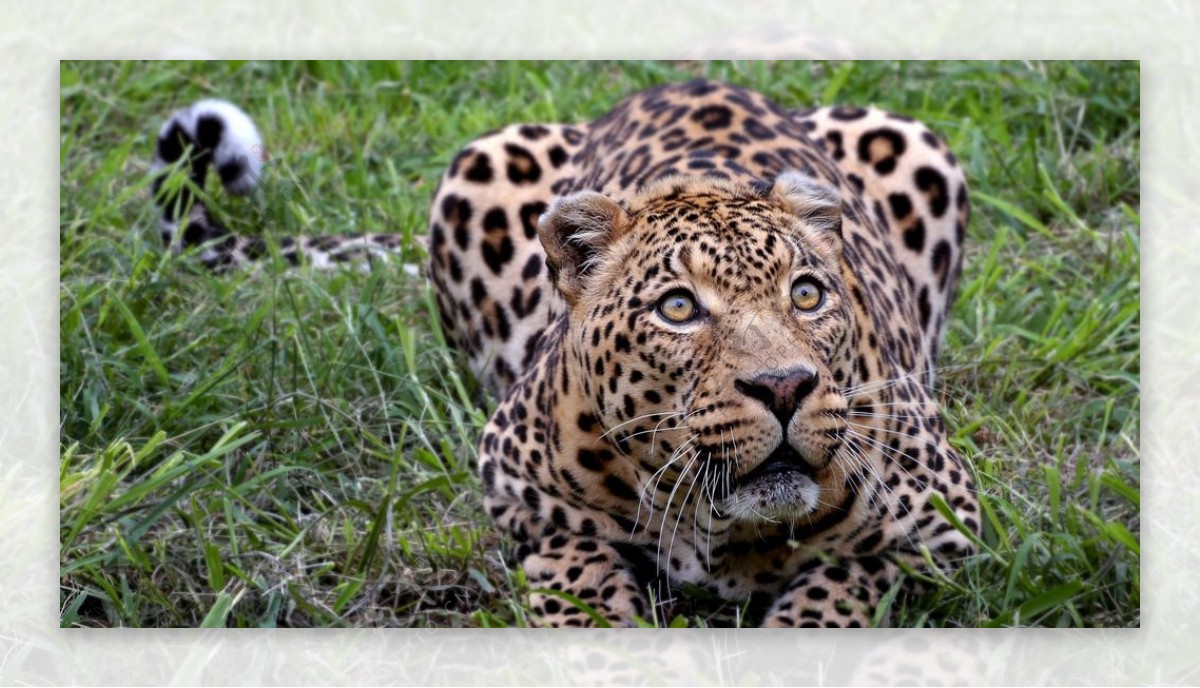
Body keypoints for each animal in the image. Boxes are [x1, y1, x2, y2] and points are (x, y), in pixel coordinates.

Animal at [427, 78, 979, 624]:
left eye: (806, 294)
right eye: (677, 307)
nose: (784, 388)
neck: (714, 524)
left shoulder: (944, 524)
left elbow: (838, 589)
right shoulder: (515, 492)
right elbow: (577, 571)